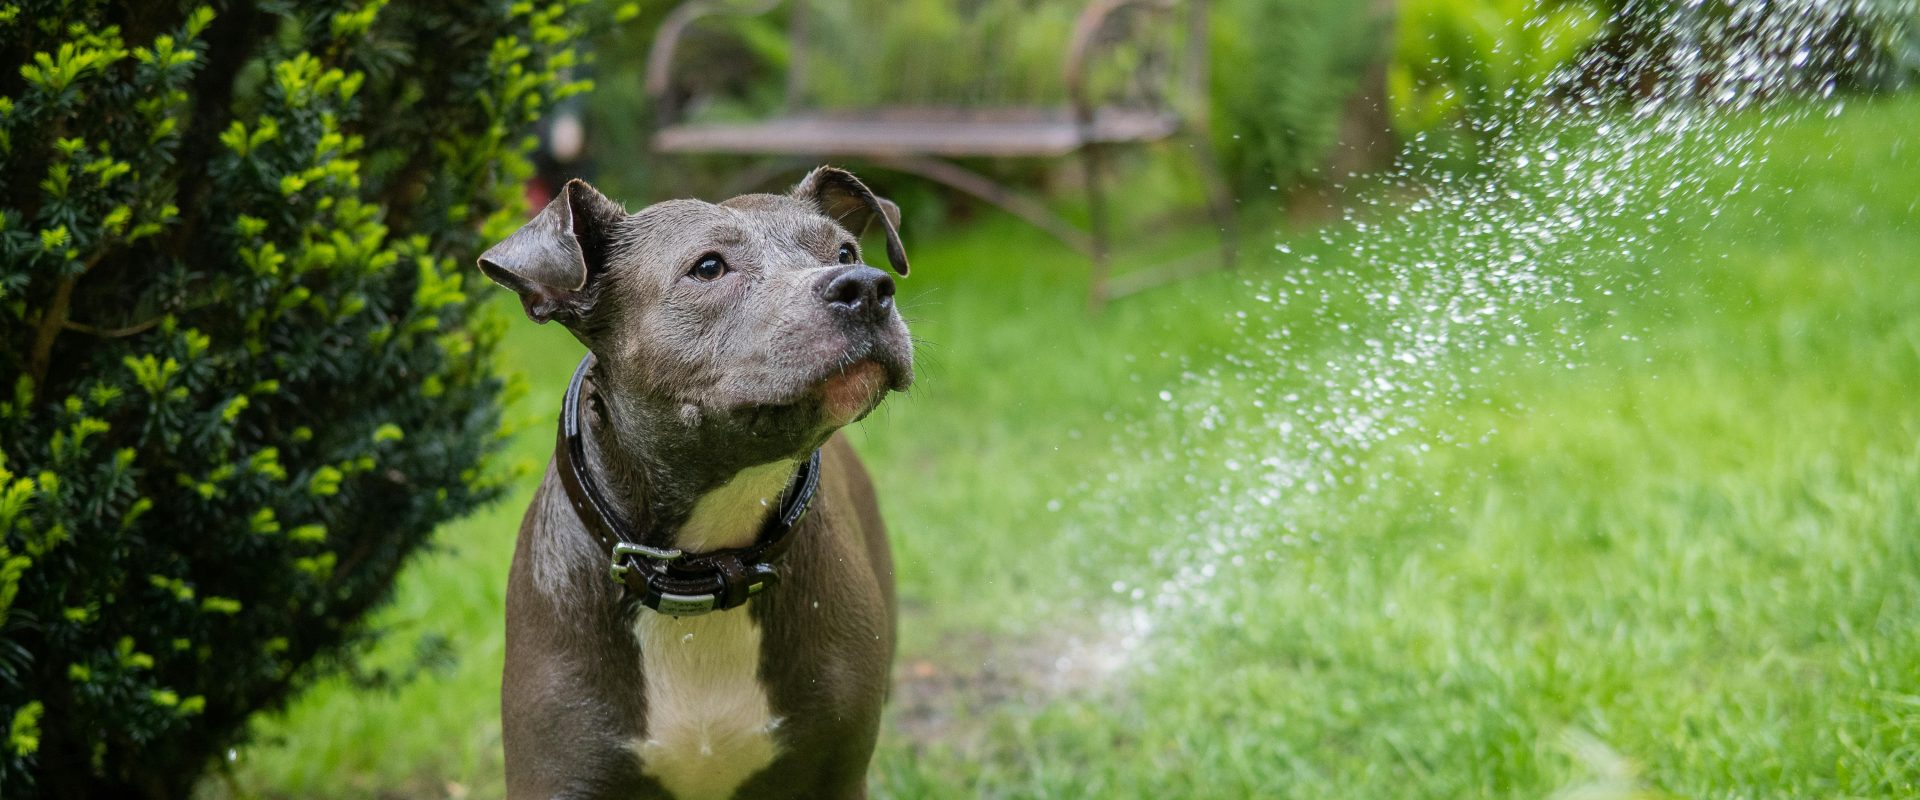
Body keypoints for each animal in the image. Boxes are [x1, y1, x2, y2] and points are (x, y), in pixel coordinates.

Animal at [470, 164, 906, 794]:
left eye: (846, 250)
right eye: (708, 267)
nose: (866, 286)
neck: (705, 565)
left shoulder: (838, 774)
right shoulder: (557, 775)